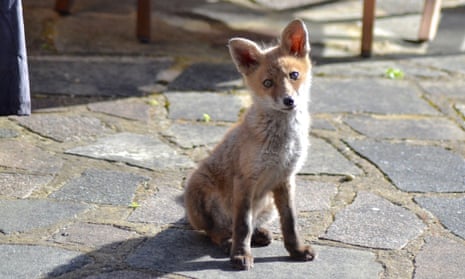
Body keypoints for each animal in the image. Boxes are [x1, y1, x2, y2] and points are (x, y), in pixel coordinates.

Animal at [183, 20, 314, 272]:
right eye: (267, 83)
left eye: (293, 75)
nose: (289, 101)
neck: (282, 142)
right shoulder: (245, 179)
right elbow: (242, 224)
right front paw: (240, 255)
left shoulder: (286, 178)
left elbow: (290, 222)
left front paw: (296, 250)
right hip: (200, 192)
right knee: (216, 232)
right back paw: (228, 243)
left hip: (268, 205)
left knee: (250, 225)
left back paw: (260, 234)